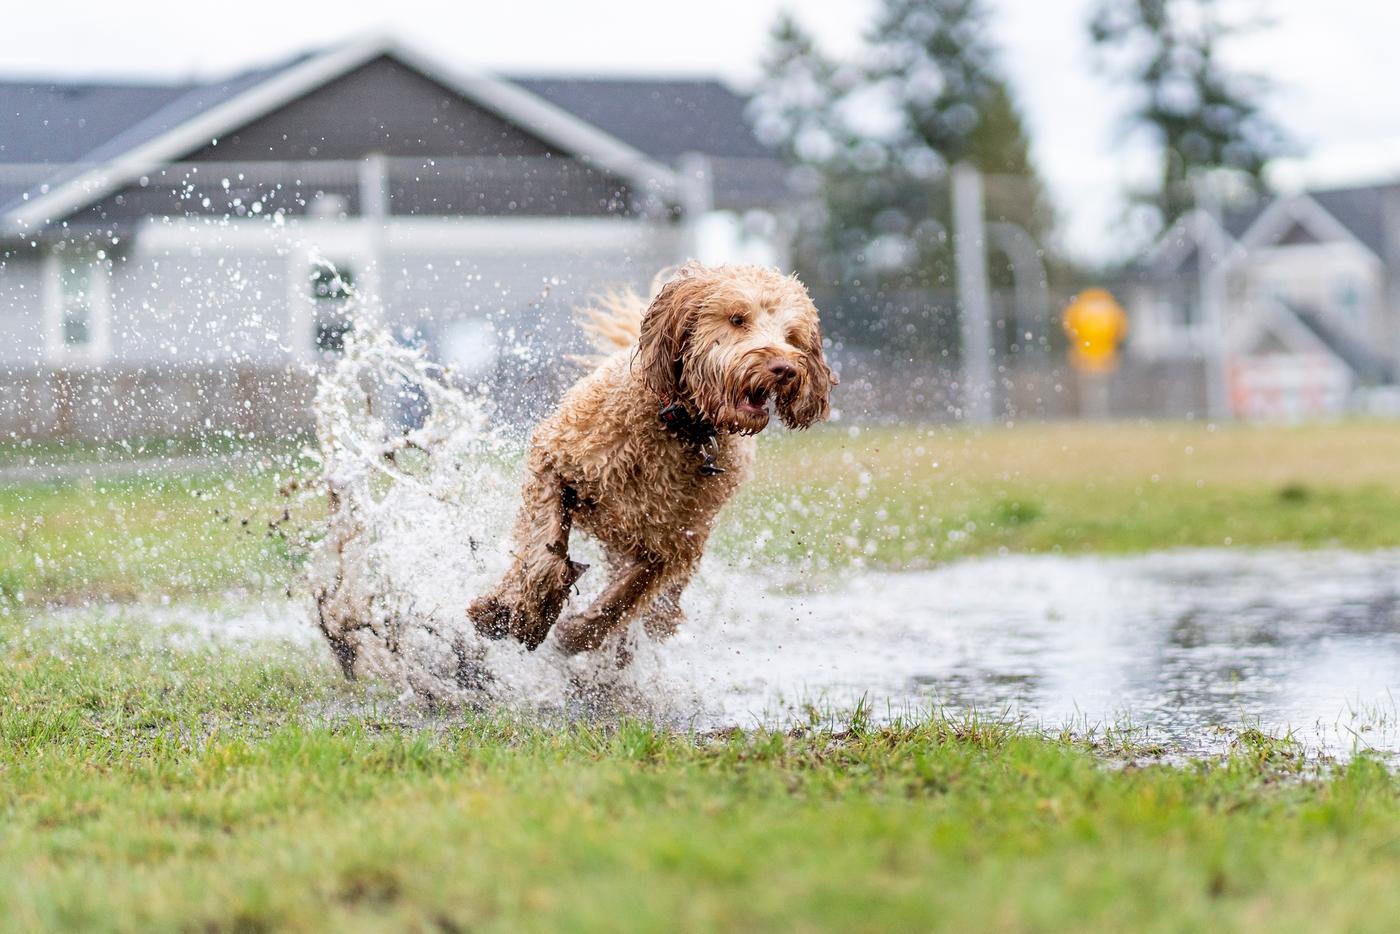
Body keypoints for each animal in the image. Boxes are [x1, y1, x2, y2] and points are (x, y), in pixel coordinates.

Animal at [470, 263, 834, 658]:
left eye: (792, 336)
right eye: (738, 319)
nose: (784, 368)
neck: (681, 426)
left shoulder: (673, 546)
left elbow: (625, 597)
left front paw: (578, 633)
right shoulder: (554, 461)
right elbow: (545, 552)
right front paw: (514, 614)